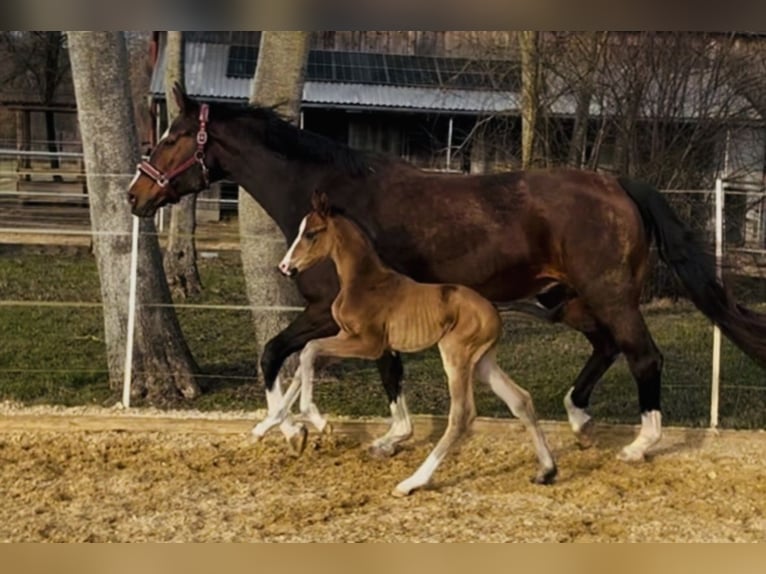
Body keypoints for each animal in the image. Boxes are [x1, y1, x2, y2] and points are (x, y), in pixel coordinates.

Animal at [128, 83, 766, 463]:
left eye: (172, 137)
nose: (136, 195)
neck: (335, 201)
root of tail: (617, 184)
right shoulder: (367, 319)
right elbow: (383, 371)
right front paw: (384, 435)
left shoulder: (325, 312)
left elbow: (277, 353)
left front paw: (293, 427)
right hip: (567, 299)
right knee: (607, 347)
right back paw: (580, 419)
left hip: (608, 295)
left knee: (643, 355)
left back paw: (639, 444)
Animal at [251, 190, 557, 496]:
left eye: (311, 233)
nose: (285, 267)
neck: (363, 281)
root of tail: (494, 308)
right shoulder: (346, 338)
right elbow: (306, 360)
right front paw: (277, 429)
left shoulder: (368, 343)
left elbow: (309, 350)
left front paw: (317, 421)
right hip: (483, 361)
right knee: (520, 399)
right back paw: (546, 471)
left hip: (455, 355)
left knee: (462, 415)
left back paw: (411, 482)